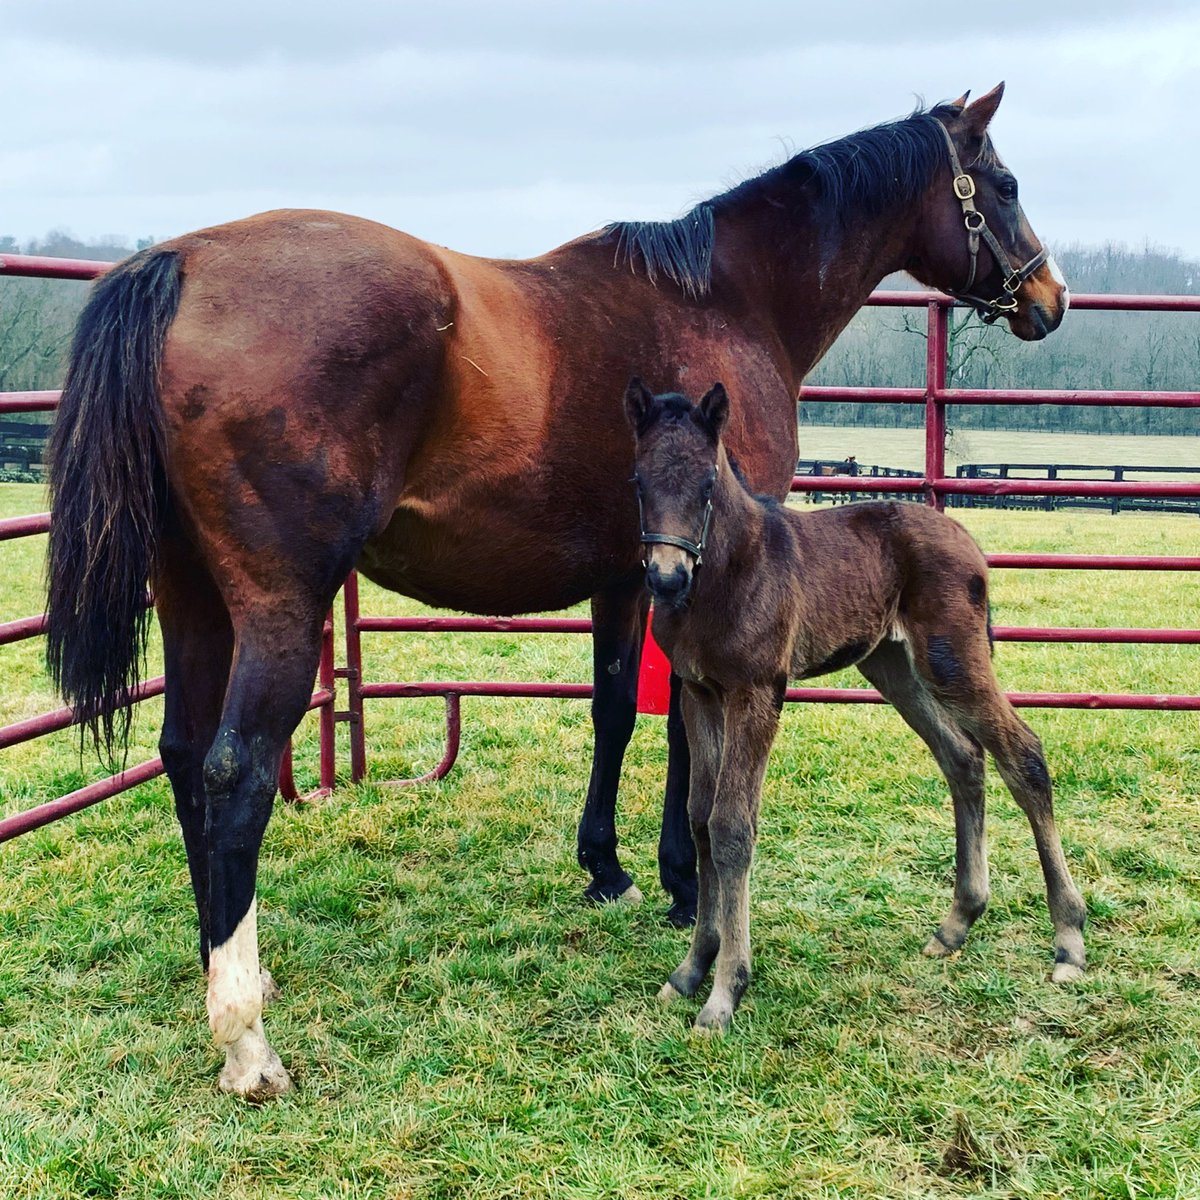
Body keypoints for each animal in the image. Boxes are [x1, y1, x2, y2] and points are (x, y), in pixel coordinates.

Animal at [628, 381, 1089, 1032]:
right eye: (639, 482)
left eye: (708, 484)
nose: (667, 580)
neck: (728, 571)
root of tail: (968, 539)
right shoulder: (699, 693)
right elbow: (699, 820)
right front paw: (692, 970)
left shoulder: (757, 691)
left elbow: (732, 826)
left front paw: (724, 993)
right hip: (893, 666)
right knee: (962, 757)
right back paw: (957, 923)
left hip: (952, 660)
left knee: (1022, 754)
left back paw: (1068, 940)